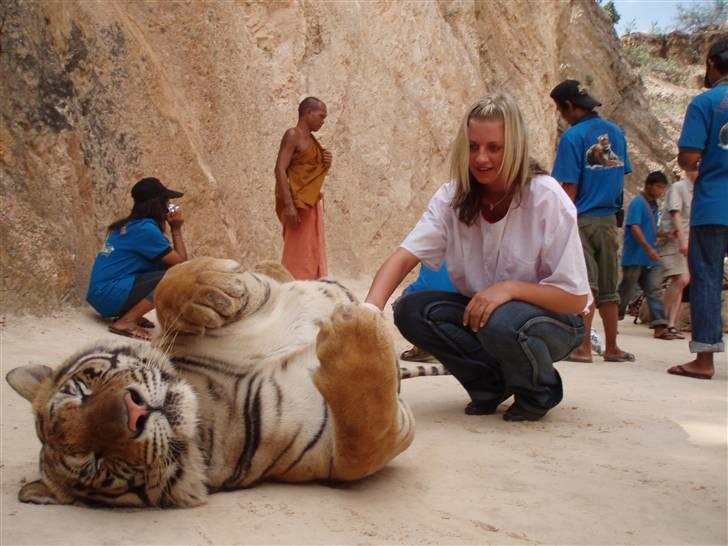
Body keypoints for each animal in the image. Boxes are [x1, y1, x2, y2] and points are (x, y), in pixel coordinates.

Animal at [5, 258, 436, 508]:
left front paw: (212, 286)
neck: (206, 395)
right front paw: (352, 327)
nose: (133, 410)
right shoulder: (336, 453)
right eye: (96, 463)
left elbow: (171, 286)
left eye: (84, 390)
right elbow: (364, 426)